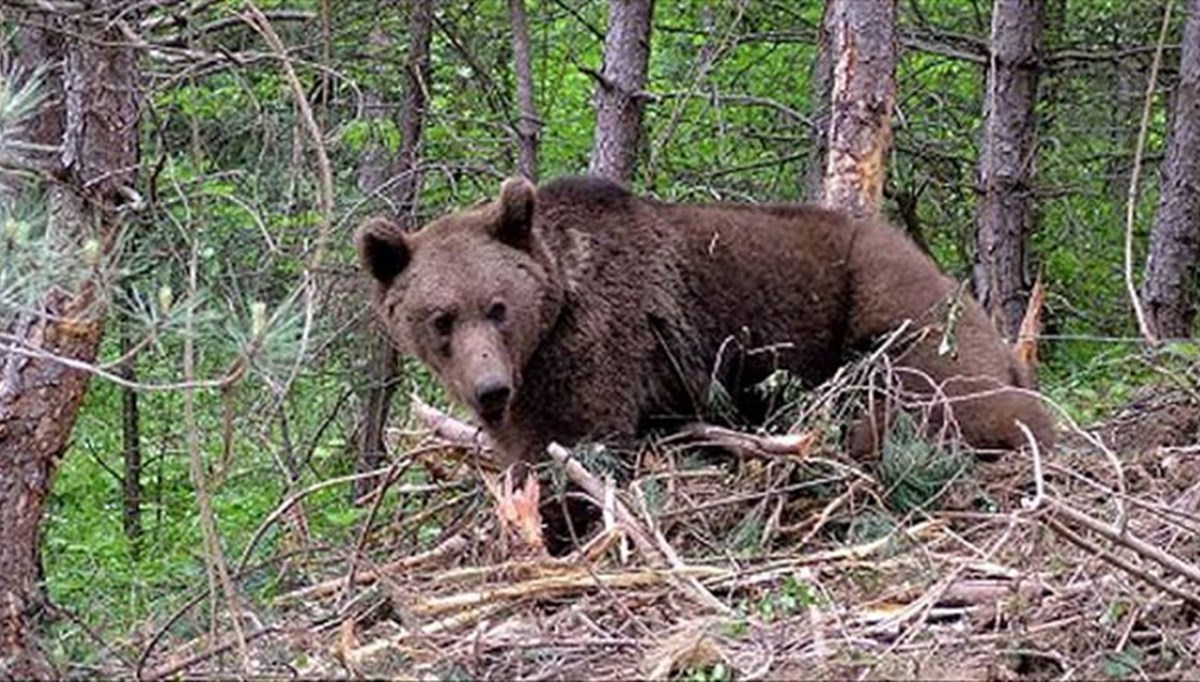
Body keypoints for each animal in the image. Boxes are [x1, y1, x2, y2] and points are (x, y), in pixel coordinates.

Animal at [355, 172, 1051, 465]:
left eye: (498, 307)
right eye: (440, 319)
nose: (490, 389)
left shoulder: (605, 339)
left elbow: (582, 441)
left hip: (894, 312)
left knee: (929, 399)